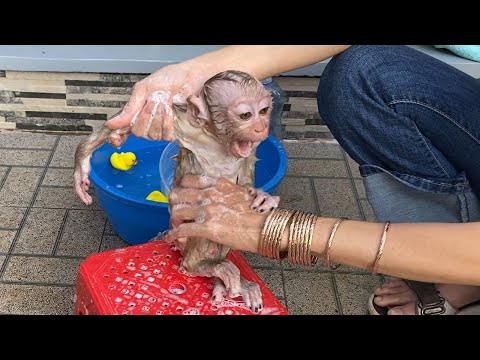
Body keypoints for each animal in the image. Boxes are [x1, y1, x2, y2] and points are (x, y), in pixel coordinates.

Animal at [73, 69, 280, 310]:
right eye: (246, 115)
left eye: (264, 111)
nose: (261, 127)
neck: (220, 144)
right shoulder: (188, 126)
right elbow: (125, 121)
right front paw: (82, 162)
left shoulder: (249, 149)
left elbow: (246, 177)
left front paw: (262, 196)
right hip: (182, 238)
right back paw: (201, 266)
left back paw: (220, 278)